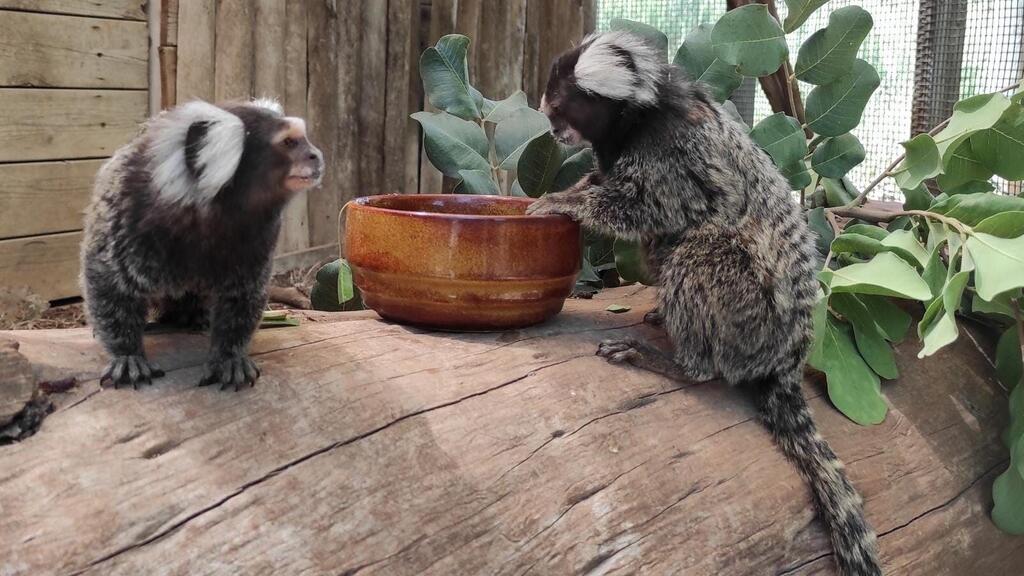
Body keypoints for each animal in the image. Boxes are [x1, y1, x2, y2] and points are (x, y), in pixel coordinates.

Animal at [77, 98, 321, 389]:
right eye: (289, 142)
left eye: (305, 139)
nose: (316, 155)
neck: (208, 215)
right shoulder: (124, 213)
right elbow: (108, 283)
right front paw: (127, 354)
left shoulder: (261, 237)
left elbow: (243, 295)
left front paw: (229, 357)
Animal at [524, 32, 884, 573]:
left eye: (561, 109)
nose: (552, 129)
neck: (639, 116)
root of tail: (787, 358)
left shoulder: (674, 150)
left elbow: (664, 207)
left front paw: (560, 204)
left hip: (750, 317)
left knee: (697, 248)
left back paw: (676, 361)